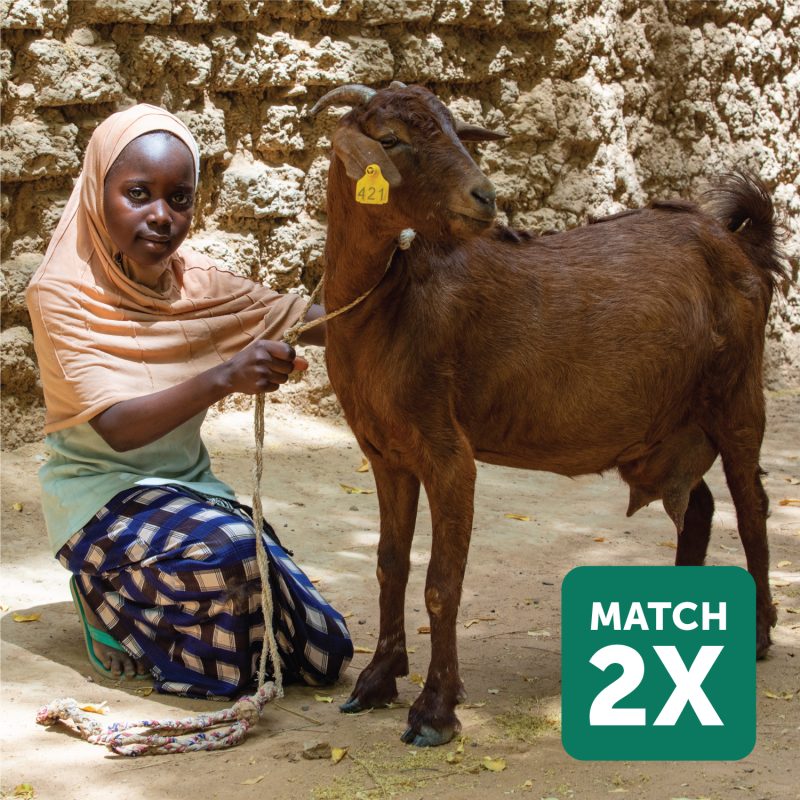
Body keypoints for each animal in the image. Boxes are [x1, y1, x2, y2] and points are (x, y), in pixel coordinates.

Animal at [309, 82, 785, 747]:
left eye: (454, 131)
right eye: (390, 139)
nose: (484, 197)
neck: (389, 303)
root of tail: (739, 244)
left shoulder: (447, 453)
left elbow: (441, 584)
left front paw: (435, 711)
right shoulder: (386, 454)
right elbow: (388, 567)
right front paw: (376, 681)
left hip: (737, 397)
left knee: (751, 507)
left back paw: (760, 633)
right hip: (668, 426)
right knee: (698, 507)